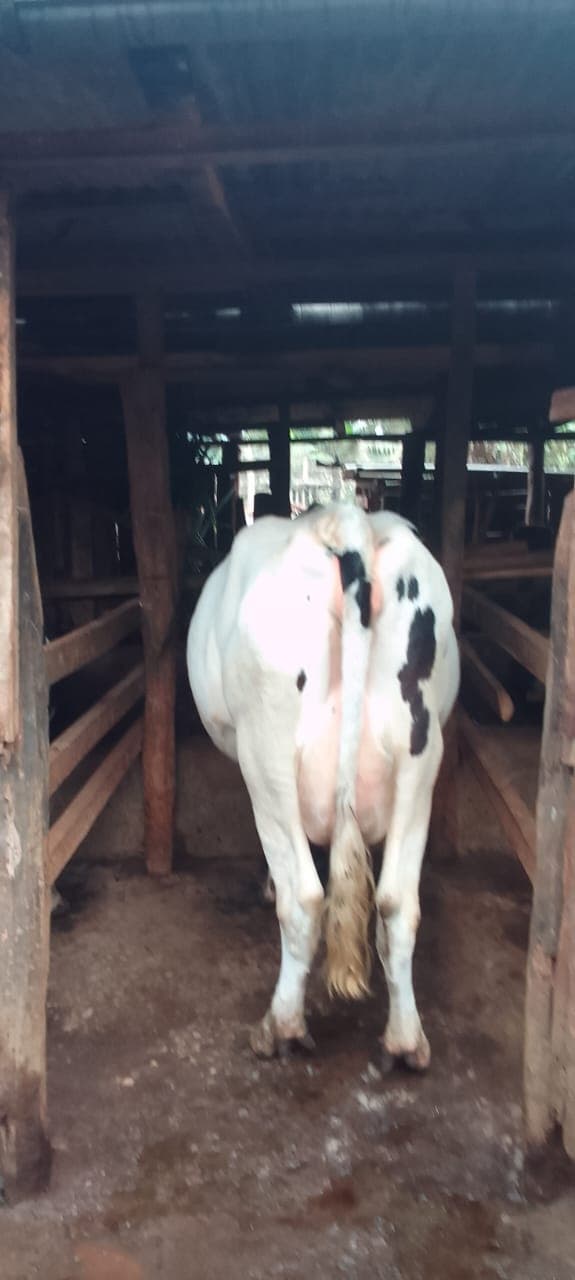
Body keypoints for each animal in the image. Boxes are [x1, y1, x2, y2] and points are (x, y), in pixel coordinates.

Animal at [187, 503, 459, 1070]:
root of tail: (347, 521)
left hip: (266, 754)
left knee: (305, 899)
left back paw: (281, 1026)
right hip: (420, 754)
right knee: (398, 902)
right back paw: (405, 1041)